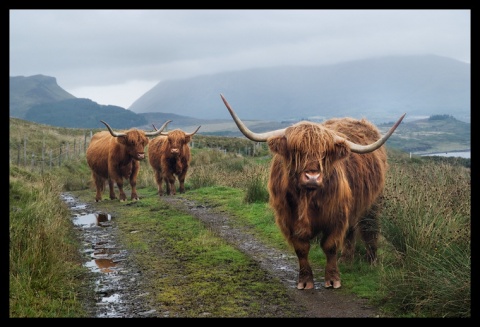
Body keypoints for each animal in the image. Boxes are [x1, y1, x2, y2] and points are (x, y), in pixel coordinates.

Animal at [221, 94, 404, 290]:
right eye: (296, 152)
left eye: (324, 153)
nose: (312, 177)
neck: (307, 199)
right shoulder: (288, 219)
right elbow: (301, 249)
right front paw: (305, 281)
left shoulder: (336, 216)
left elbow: (330, 246)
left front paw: (333, 279)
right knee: (351, 231)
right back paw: (346, 260)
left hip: (373, 202)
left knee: (370, 229)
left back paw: (371, 261)